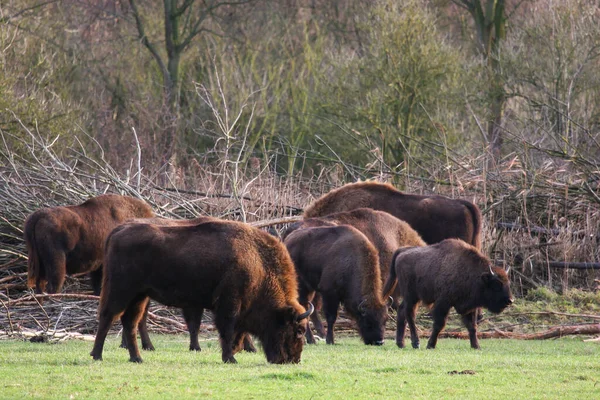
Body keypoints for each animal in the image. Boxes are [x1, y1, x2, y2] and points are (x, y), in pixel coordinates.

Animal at [91, 217, 314, 364]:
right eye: (298, 330)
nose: (294, 360)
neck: (258, 262)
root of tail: (118, 230)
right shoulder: (229, 303)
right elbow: (228, 329)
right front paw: (230, 358)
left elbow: (236, 331)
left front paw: (233, 353)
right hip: (121, 290)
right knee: (108, 316)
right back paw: (97, 355)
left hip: (139, 296)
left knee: (129, 322)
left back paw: (137, 358)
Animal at [382, 238, 512, 350]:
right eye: (496, 284)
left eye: (508, 283)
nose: (510, 300)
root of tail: (402, 251)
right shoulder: (443, 303)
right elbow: (439, 324)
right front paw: (430, 345)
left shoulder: (469, 307)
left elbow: (472, 326)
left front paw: (476, 346)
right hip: (411, 296)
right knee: (409, 314)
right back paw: (416, 343)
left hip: (414, 297)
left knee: (402, 311)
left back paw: (401, 344)